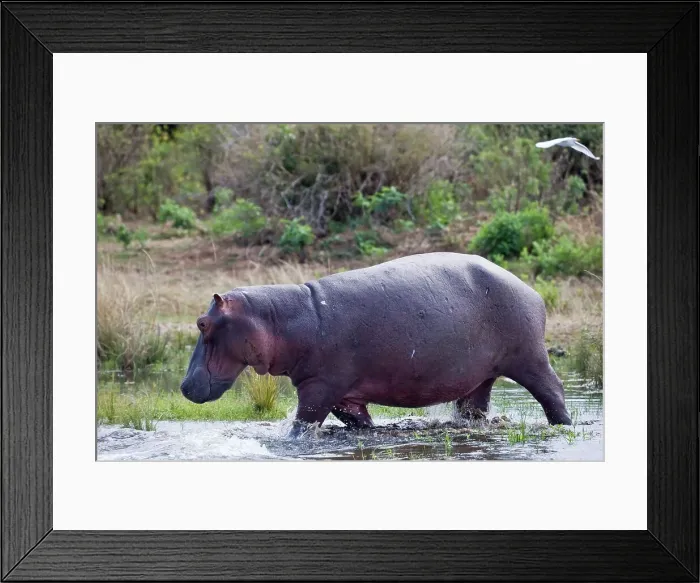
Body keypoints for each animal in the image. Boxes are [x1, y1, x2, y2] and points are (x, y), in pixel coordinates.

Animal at [180, 252, 572, 437]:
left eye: (202, 323)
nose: (184, 386)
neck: (283, 317)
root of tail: (532, 290)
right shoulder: (345, 396)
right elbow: (357, 421)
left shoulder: (319, 386)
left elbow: (302, 425)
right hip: (480, 377)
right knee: (473, 407)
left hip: (529, 358)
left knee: (553, 390)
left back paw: (563, 426)